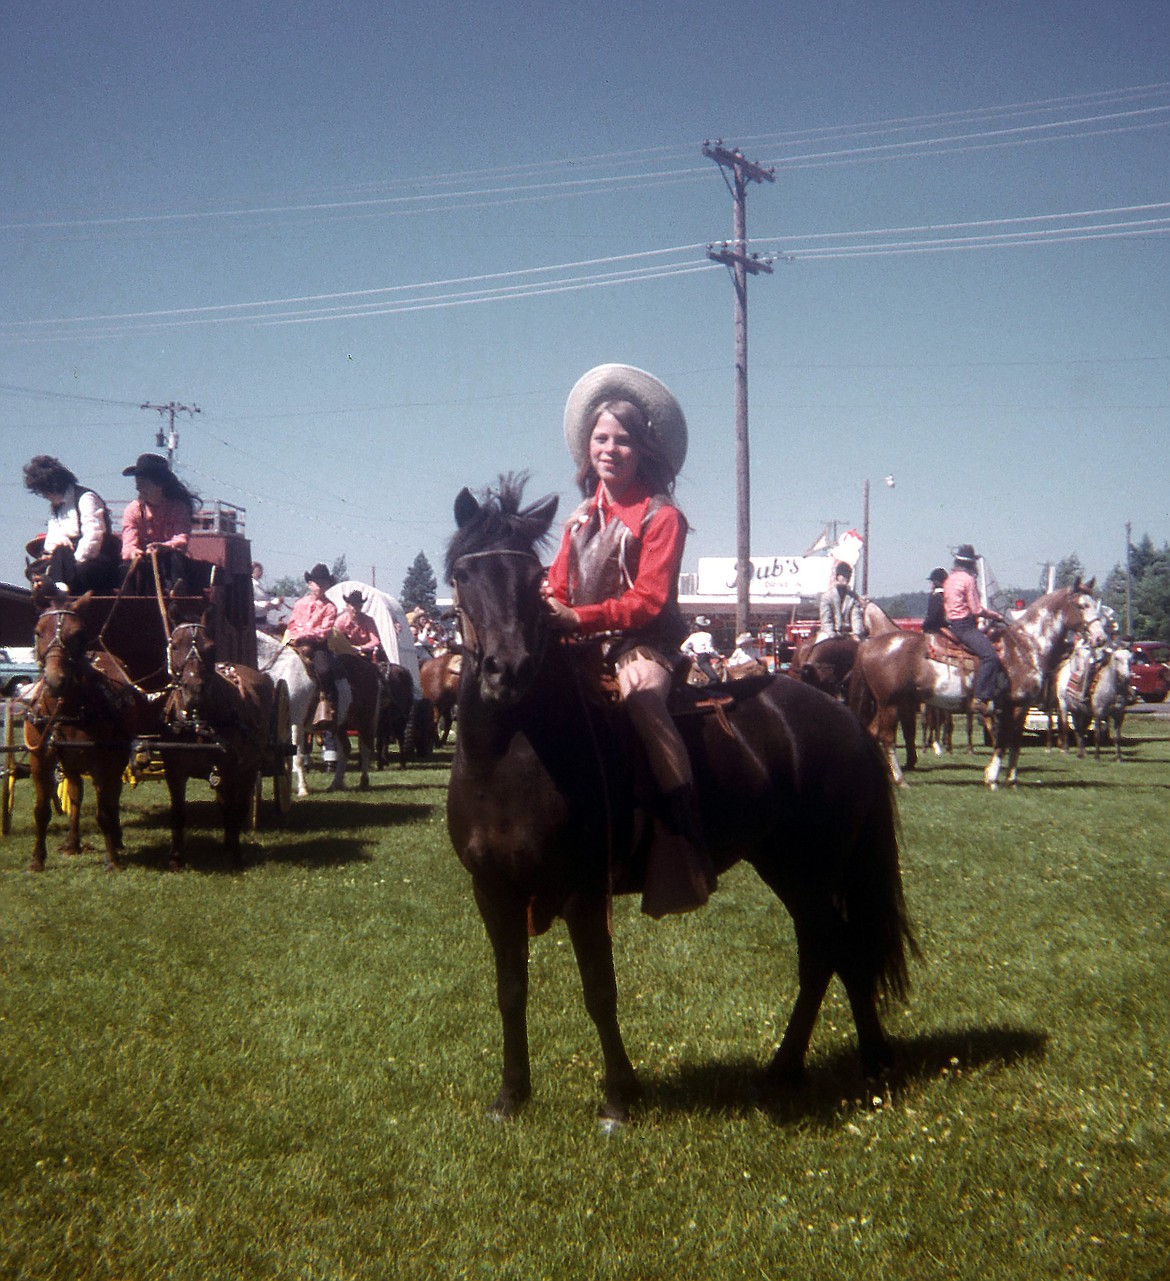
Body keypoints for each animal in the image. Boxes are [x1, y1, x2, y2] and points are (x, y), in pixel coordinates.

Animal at [25, 589, 157, 871]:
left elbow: (104, 811)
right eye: (38, 632)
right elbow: (42, 811)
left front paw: (113, 860)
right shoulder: (40, 759)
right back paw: (73, 842)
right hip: (71, 762)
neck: (68, 710)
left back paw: (116, 839)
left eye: (79, 634)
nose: (55, 681)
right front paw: (37, 860)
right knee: (75, 794)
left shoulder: (104, 763)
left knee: (112, 797)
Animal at [164, 612, 274, 871]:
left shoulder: (233, 767)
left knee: (236, 805)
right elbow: (178, 811)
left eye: (211, 647)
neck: (198, 721)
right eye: (175, 645)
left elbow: (234, 809)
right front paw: (176, 858)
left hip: (248, 766)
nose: (194, 690)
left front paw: (235, 854)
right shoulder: (174, 771)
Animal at [443, 479, 917, 1122]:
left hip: (812, 869)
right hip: (786, 867)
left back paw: (846, 1062)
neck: (509, 760)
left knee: (833, 949)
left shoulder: (584, 891)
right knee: (829, 951)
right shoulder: (493, 891)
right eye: (464, 574)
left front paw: (619, 1098)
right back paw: (813, 1065)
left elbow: (599, 989)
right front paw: (511, 1095)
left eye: (533, 578)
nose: (507, 669)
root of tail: (844, 717)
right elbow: (511, 989)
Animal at [850, 584, 1107, 789]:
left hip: (884, 705)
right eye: (1082, 605)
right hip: (889, 704)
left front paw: (1006, 778)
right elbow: (1007, 740)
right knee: (886, 738)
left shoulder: (1012, 707)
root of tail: (868, 644)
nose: (1101, 639)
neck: (1025, 647)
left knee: (872, 732)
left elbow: (1010, 741)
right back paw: (901, 780)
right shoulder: (1016, 705)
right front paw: (996, 778)